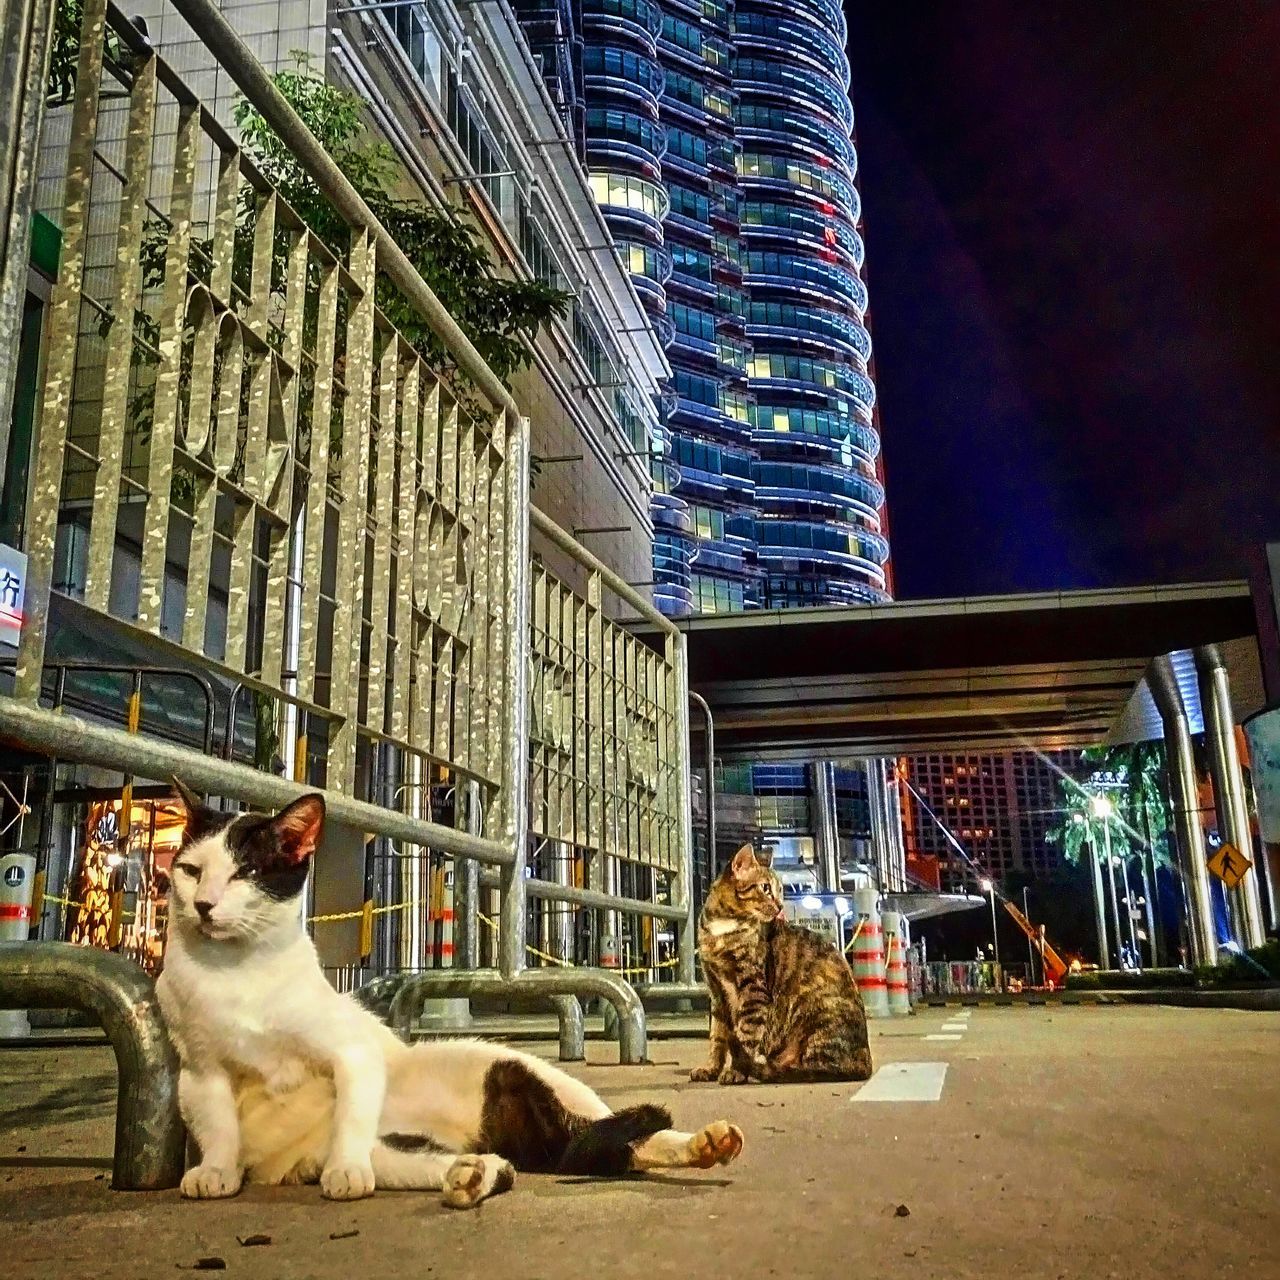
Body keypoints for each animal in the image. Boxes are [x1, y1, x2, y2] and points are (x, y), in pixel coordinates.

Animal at [154, 778, 747, 1208]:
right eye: (190, 870)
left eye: (248, 873)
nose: (203, 904)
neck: (237, 973)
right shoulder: (199, 1070)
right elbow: (217, 1123)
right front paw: (216, 1170)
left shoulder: (353, 1051)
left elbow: (350, 1114)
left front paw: (345, 1172)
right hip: (432, 1144)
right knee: (588, 1153)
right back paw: (478, 1173)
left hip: (523, 1074)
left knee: (611, 1132)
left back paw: (701, 1142)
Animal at [691, 844, 880, 1085]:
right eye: (765, 888)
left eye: (780, 890)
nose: (780, 905)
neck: (721, 927)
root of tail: (867, 1062)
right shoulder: (716, 993)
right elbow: (717, 1036)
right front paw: (711, 1068)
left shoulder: (753, 990)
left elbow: (746, 1035)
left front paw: (737, 1069)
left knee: (820, 1068)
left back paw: (773, 1069)